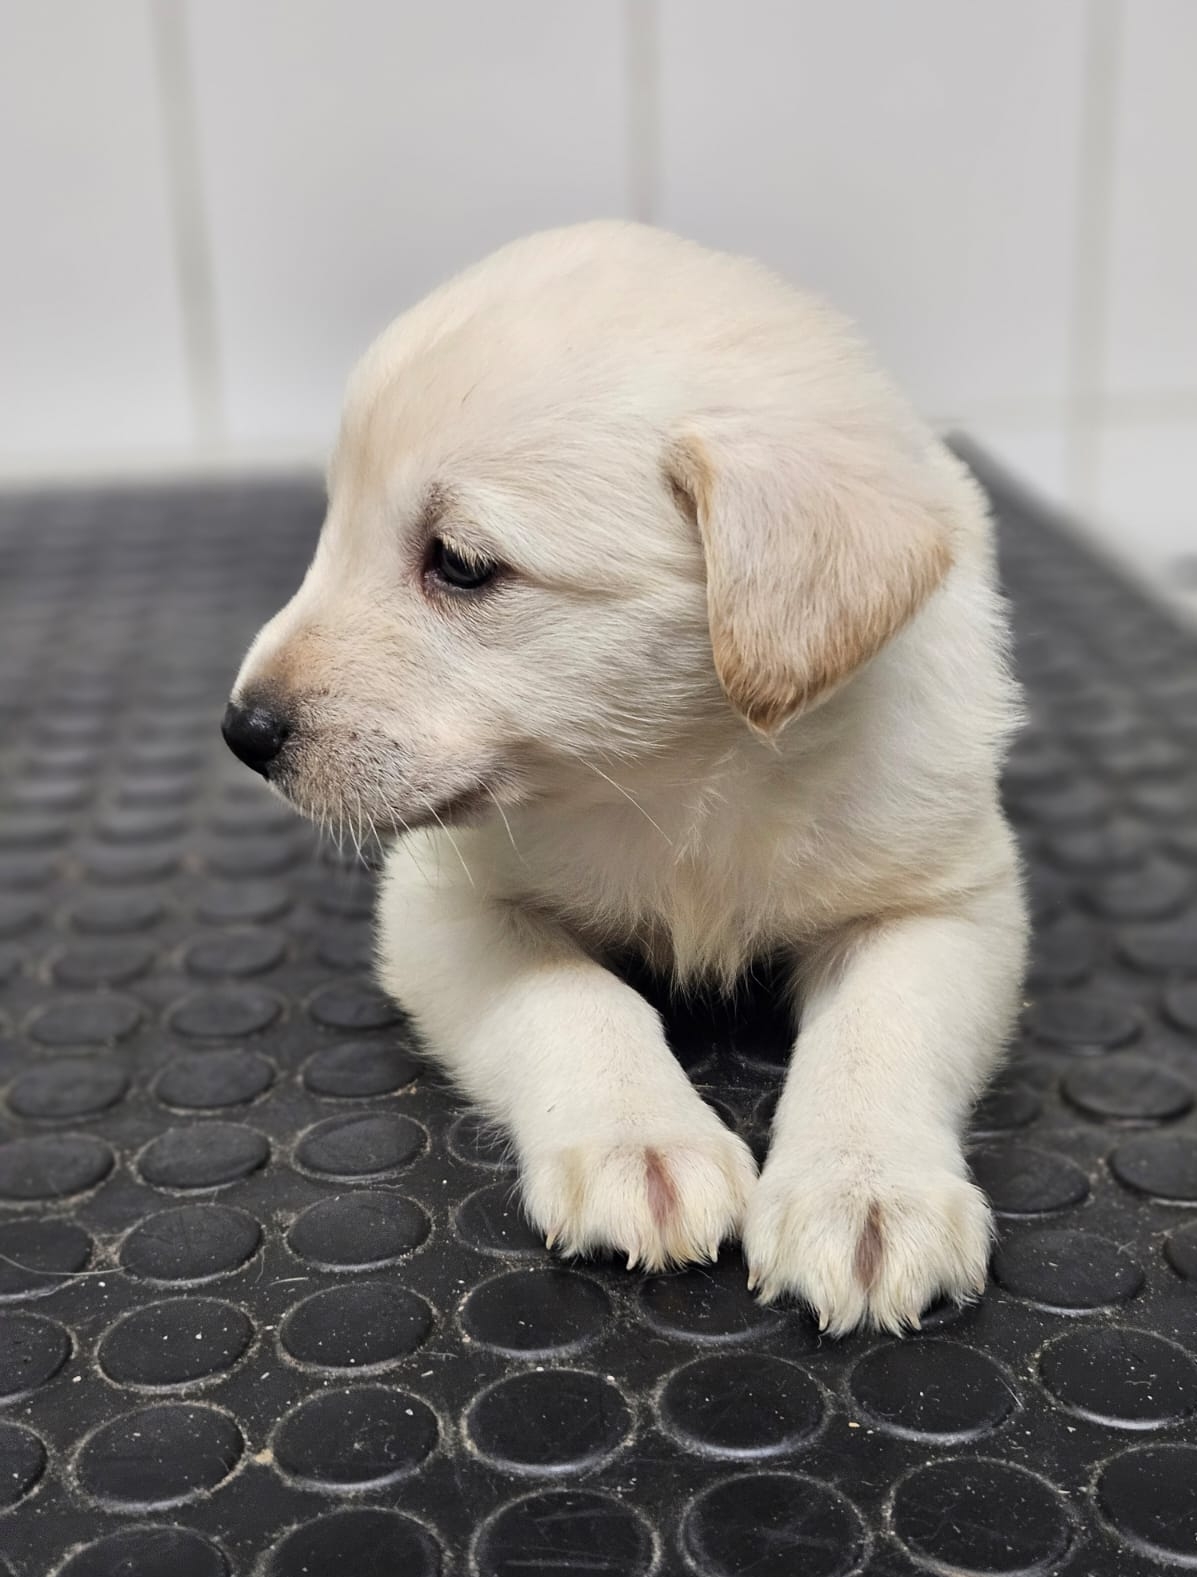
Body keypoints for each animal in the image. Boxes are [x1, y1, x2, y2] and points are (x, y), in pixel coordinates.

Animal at [224, 222, 1027, 1334]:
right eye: (334, 526)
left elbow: (882, 1026)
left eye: (460, 562)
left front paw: (865, 1188)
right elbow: (571, 996)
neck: (674, 775)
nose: (242, 729)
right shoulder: (444, 902)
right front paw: (639, 1141)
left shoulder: (948, 903)